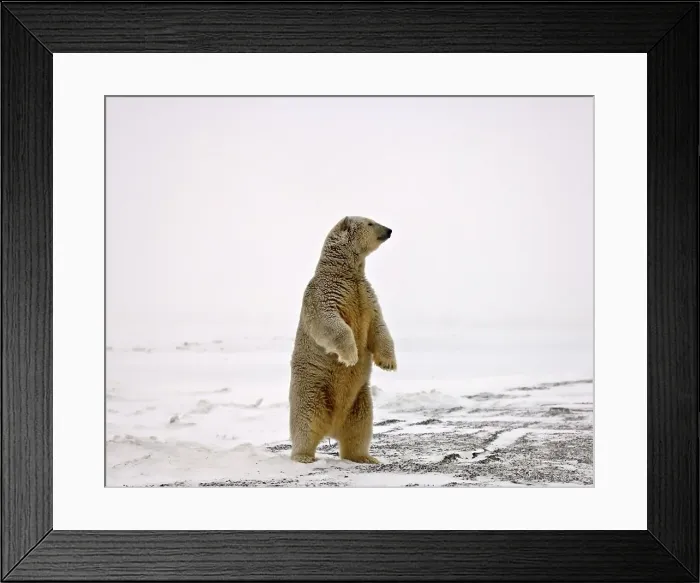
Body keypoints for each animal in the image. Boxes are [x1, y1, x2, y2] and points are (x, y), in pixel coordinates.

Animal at [288, 216, 397, 464]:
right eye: (370, 223)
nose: (389, 230)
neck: (344, 272)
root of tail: (332, 429)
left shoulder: (366, 294)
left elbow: (378, 325)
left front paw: (388, 363)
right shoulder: (325, 292)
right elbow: (329, 321)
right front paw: (350, 356)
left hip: (360, 401)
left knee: (359, 430)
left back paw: (366, 458)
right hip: (311, 391)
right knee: (305, 423)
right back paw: (303, 456)